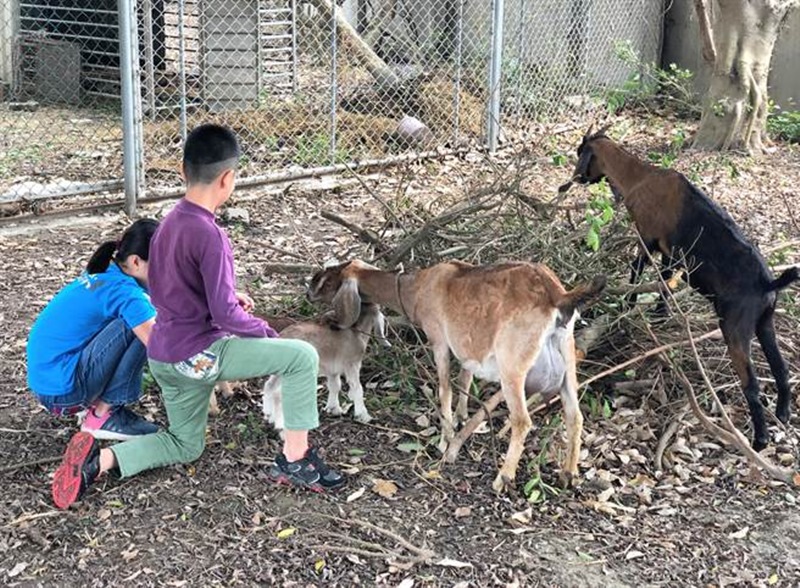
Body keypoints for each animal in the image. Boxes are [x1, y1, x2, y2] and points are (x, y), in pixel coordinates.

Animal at [560, 126, 796, 450]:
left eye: (580, 152)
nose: (576, 179)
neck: (640, 175)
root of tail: (767, 282)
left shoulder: (647, 238)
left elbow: (637, 270)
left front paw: (627, 306)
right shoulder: (668, 252)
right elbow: (664, 281)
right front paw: (660, 315)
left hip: (735, 328)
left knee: (752, 383)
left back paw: (759, 439)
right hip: (765, 323)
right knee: (781, 368)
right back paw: (783, 414)